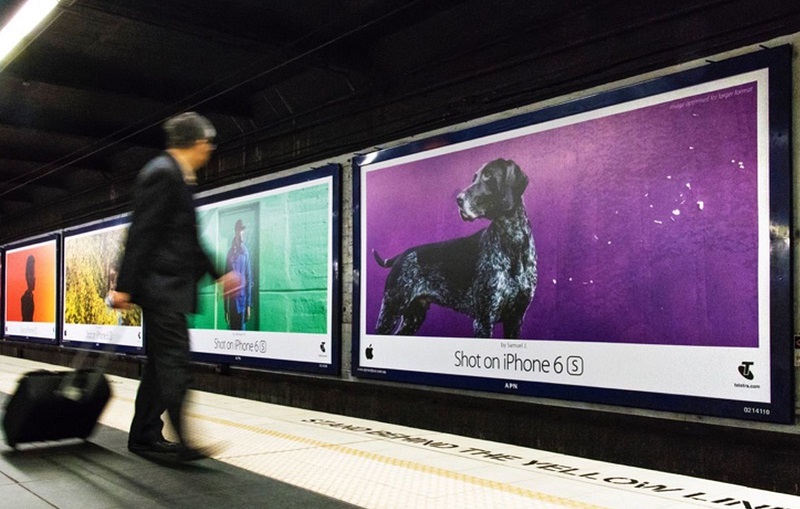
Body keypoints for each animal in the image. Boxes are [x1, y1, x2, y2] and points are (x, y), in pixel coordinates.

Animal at [372, 158, 537, 338]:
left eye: (488, 175)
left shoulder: (515, 319)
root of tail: (400, 255)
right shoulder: (484, 321)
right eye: (474, 178)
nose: (459, 199)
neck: (514, 241)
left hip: (413, 318)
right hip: (390, 311)